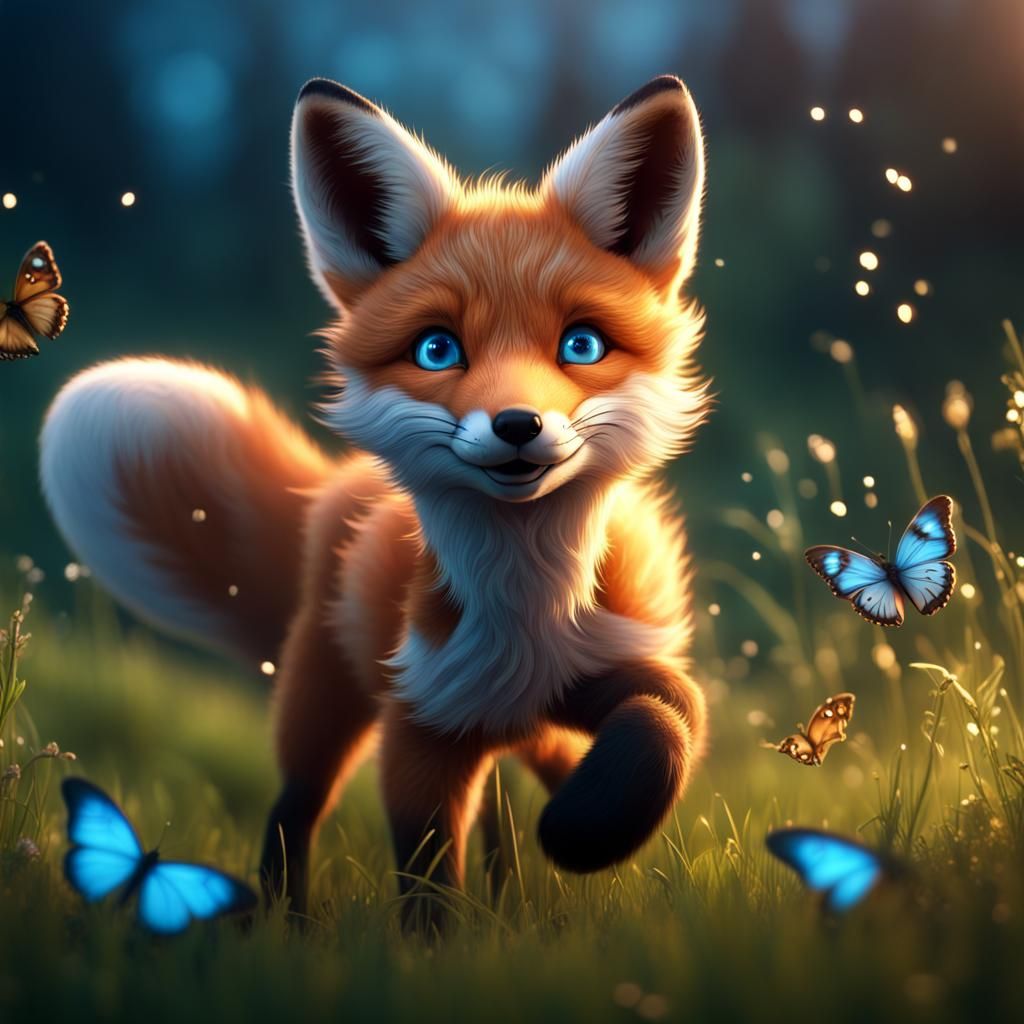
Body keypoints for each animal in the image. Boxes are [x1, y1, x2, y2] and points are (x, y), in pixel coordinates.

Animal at [39, 74, 710, 924]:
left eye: (580, 344)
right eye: (438, 350)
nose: (517, 424)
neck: (523, 611)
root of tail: (334, 486)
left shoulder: (603, 659)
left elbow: (671, 713)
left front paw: (585, 830)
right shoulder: (423, 722)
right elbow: (427, 882)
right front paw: (450, 943)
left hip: (514, 727)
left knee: (519, 789)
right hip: (324, 703)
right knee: (295, 807)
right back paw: (284, 925)